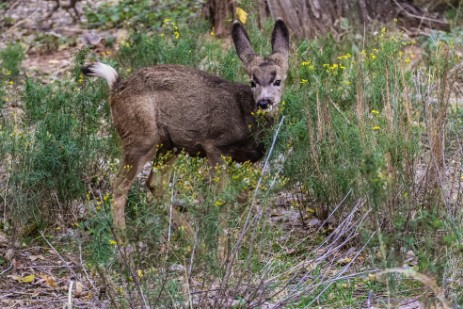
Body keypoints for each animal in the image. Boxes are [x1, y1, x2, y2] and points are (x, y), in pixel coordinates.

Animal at [80, 18, 290, 231]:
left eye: (278, 81)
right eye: (252, 82)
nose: (264, 102)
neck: (246, 117)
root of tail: (115, 89)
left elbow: (243, 196)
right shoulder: (215, 145)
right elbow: (222, 196)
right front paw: (221, 235)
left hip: (168, 144)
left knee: (155, 183)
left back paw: (187, 234)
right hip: (141, 137)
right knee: (120, 183)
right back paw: (122, 235)